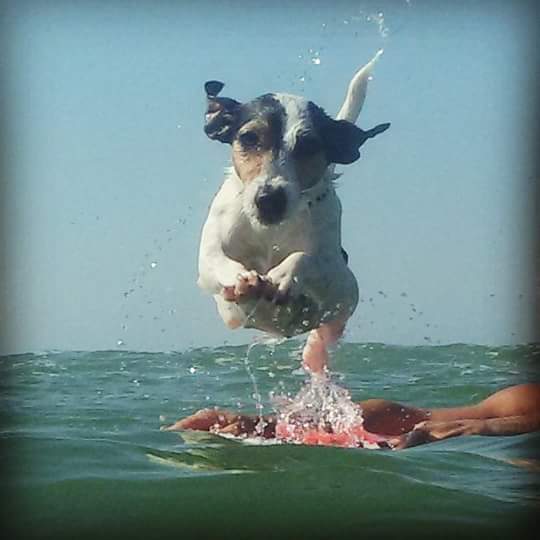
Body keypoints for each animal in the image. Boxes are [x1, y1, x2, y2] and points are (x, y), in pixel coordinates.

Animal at [197, 52, 388, 374]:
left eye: (309, 145)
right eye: (249, 138)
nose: (269, 200)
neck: (270, 233)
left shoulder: (337, 275)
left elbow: (306, 258)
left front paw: (284, 274)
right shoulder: (208, 260)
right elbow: (217, 260)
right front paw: (241, 276)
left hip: (340, 309)